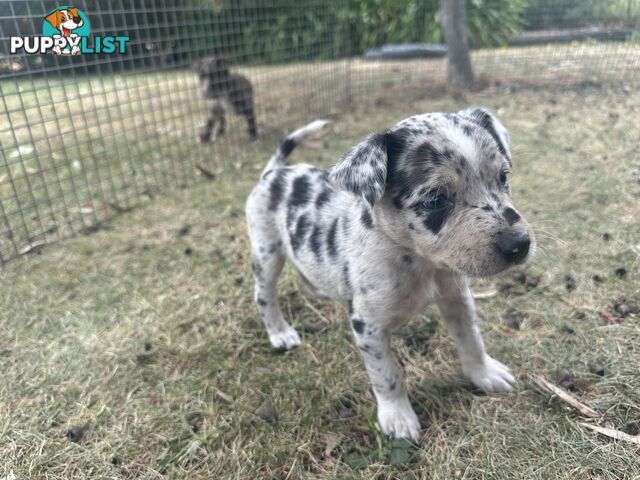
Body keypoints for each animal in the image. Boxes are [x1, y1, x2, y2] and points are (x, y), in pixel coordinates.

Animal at [245, 110, 536, 440]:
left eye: (503, 177)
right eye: (436, 200)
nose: (519, 245)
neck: (419, 262)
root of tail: (274, 172)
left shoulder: (457, 299)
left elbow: (471, 340)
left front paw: (485, 374)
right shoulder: (368, 325)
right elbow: (387, 375)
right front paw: (398, 417)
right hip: (267, 251)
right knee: (263, 295)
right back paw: (280, 333)